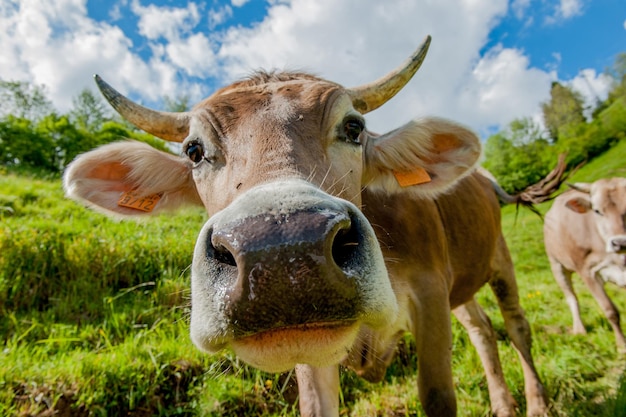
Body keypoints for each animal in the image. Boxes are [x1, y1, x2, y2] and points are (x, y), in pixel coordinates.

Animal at [66, 36, 548, 416]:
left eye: (353, 128)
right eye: (193, 150)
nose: (280, 252)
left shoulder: (431, 294)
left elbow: (437, 396)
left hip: (500, 260)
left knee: (516, 326)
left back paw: (537, 403)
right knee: (483, 329)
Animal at [540, 177, 624, 350]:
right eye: (597, 210)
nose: (620, 243)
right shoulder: (587, 272)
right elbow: (610, 311)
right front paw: (621, 346)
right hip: (556, 265)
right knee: (572, 298)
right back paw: (579, 330)